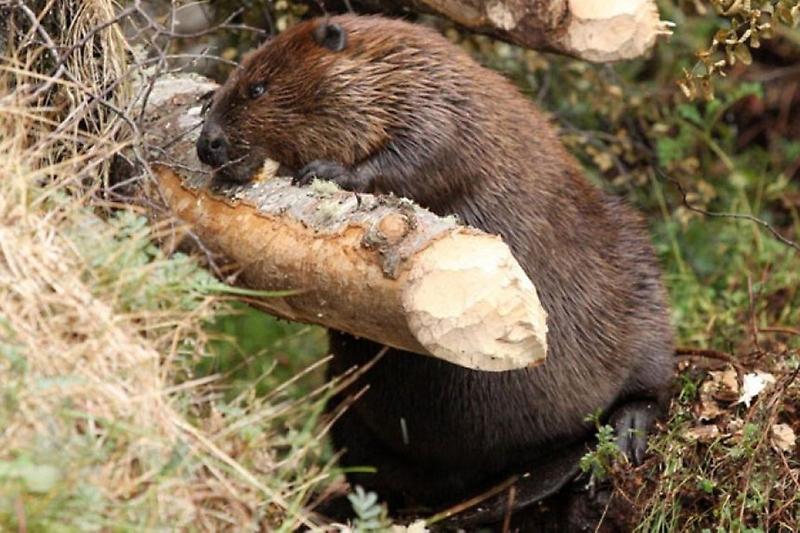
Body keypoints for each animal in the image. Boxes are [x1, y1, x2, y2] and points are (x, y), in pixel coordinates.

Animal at [197, 14, 672, 528]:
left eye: (257, 88)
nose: (207, 144)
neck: (395, 67)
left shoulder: (442, 106)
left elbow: (424, 152)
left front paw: (327, 171)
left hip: (636, 268)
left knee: (653, 384)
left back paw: (625, 431)